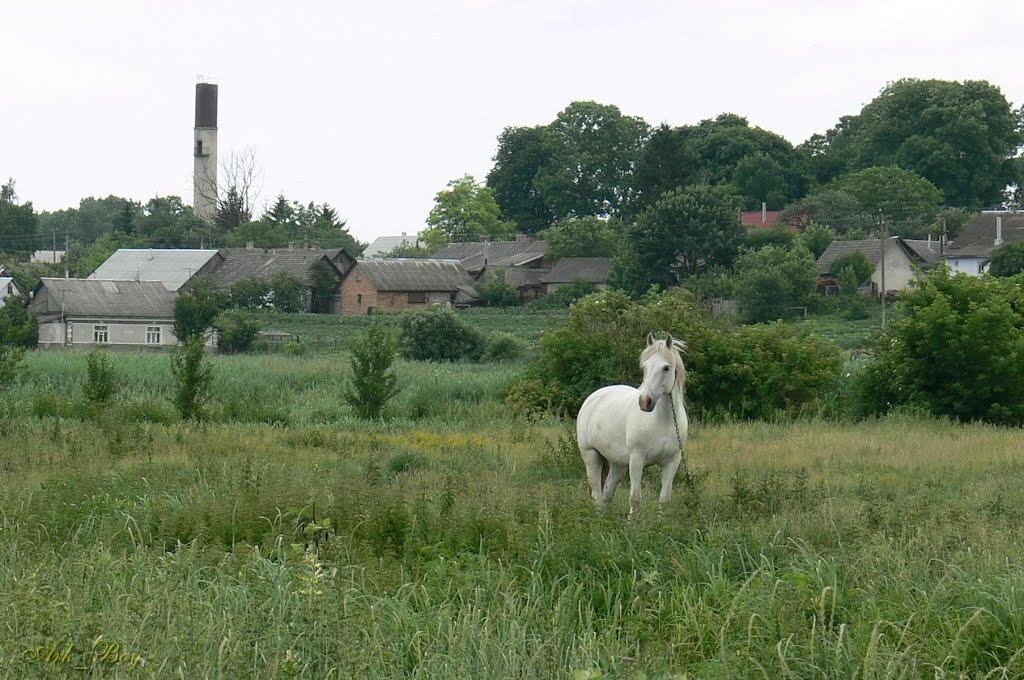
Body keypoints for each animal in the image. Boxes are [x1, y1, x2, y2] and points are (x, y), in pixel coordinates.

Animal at [577, 331, 688, 512]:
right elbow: (635, 499)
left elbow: (664, 500)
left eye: (666, 368)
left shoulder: (672, 462)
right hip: (591, 455)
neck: (662, 421)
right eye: (645, 367)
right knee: (597, 495)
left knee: (607, 493)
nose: (645, 402)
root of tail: (592, 397)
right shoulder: (636, 460)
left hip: (618, 464)